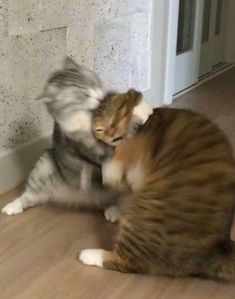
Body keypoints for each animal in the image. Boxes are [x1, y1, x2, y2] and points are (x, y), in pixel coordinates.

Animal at [0, 58, 120, 223]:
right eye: (83, 94)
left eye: (94, 82)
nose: (99, 98)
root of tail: (83, 199)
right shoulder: (82, 145)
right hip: (44, 166)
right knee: (30, 196)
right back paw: (12, 207)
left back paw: (114, 210)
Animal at [79, 88, 235, 282]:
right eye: (99, 129)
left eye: (117, 117)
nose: (110, 134)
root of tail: (218, 248)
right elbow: (124, 189)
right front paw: (115, 209)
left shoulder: (125, 163)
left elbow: (113, 173)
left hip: (143, 213)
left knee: (128, 263)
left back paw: (89, 255)